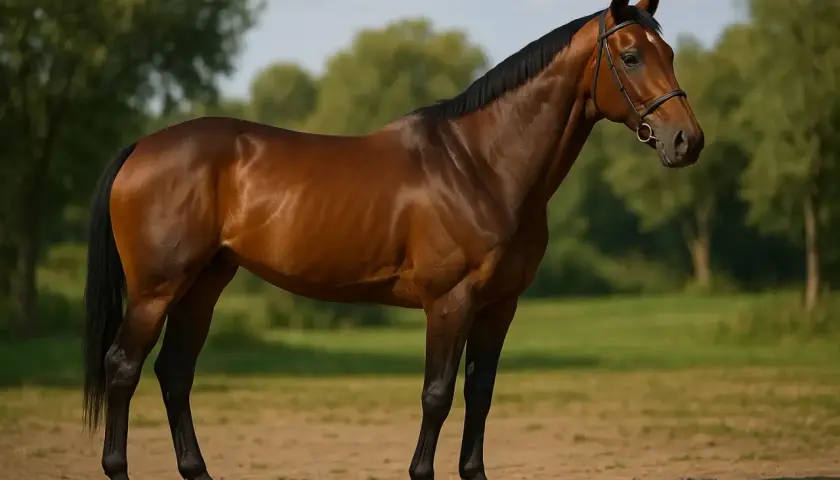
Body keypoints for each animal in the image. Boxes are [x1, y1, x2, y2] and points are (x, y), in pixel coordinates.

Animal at [82, 0, 703, 478]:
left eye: (669, 54)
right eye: (631, 55)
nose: (687, 141)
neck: (480, 164)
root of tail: (141, 148)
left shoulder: (500, 306)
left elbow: (479, 394)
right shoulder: (450, 302)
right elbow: (437, 394)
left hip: (204, 284)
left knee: (174, 373)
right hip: (157, 290)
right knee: (123, 368)